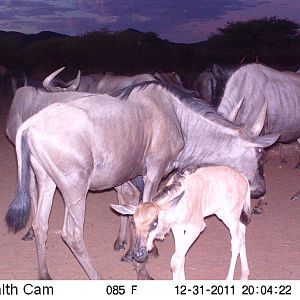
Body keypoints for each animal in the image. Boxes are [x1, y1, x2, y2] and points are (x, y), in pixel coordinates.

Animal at [112, 165, 251, 280]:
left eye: (155, 223)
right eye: (134, 222)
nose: (138, 254)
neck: (180, 200)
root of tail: (244, 178)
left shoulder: (196, 227)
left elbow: (176, 260)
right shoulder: (177, 228)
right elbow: (181, 257)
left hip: (230, 216)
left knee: (236, 239)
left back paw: (229, 279)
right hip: (225, 214)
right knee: (243, 230)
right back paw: (244, 275)